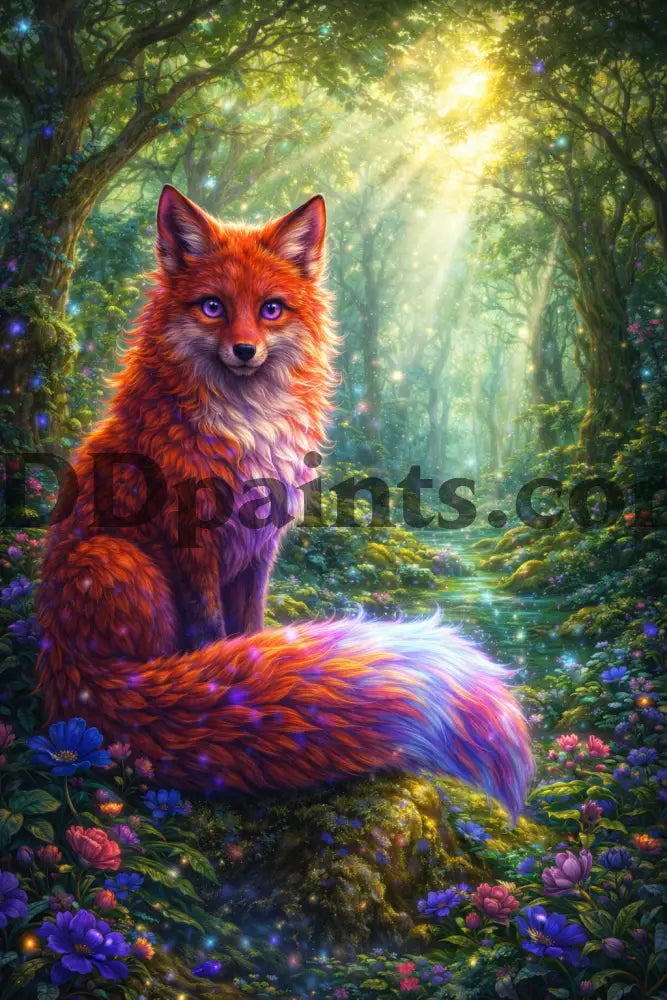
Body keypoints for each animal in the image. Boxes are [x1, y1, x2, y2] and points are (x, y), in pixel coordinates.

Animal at [36, 185, 533, 818]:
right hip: (113, 559)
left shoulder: (260, 545)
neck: (246, 429)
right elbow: (211, 633)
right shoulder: (192, 542)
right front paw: (230, 680)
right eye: (213, 307)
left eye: (271, 309)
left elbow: (248, 629)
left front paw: (253, 664)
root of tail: (63, 674)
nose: (245, 350)